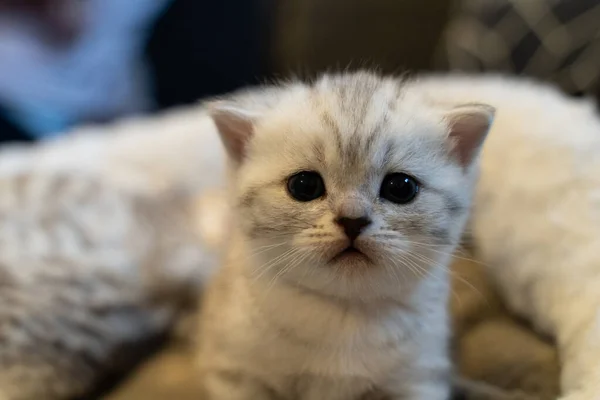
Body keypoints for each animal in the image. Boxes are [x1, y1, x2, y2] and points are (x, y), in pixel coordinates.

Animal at [197, 72, 492, 400]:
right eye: (304, 185)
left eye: (401, 187)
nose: (353, 220)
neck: (345, 314)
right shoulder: (235, 374)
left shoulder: (419, 379)